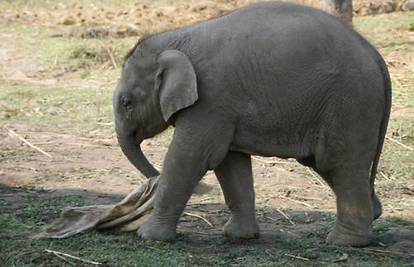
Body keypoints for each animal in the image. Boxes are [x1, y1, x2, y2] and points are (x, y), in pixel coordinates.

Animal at [112, 1, 392, 247]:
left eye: (127, 103)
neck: (177, 38)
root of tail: (375, 55)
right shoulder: (224, 108)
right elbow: (229, 162)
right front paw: (239, 236)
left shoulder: (211, 100)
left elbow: (190, 156)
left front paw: (146, 236)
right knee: (328, 165)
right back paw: (373, 214)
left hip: (351, 104)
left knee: (341, 164)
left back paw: (345, 242)